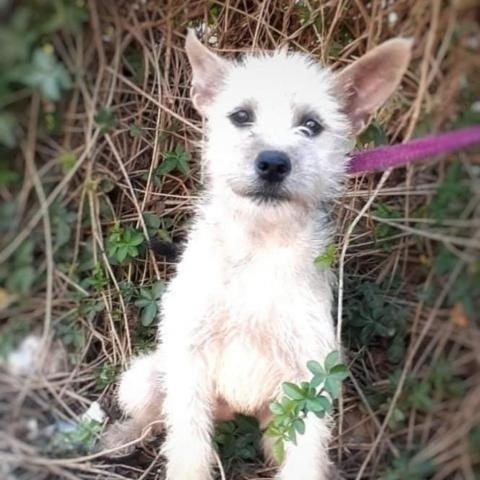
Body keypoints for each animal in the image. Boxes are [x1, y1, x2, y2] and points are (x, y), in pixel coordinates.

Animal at [106, 31, 412, 478]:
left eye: (311, 125)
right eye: (241, 116)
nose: (272, 163)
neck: (258, 245)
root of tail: (233, 411)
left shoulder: (311, 379)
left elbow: (306, 460)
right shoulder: (189, 358)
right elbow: (188, 449)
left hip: (278, 416)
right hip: (145, 377)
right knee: (155, 419)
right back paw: (121, 438)